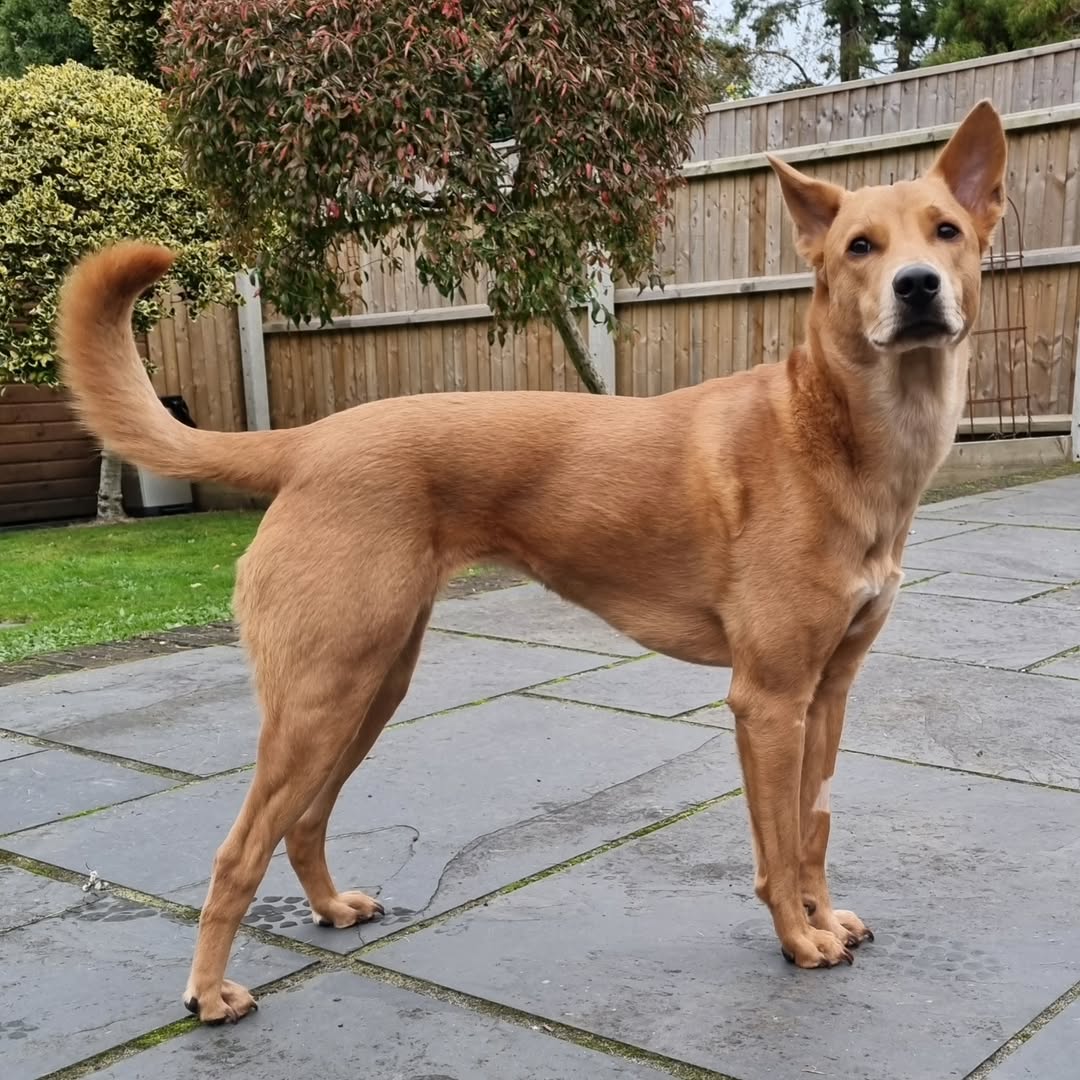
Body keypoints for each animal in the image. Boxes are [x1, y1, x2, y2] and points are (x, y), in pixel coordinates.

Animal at [56, 101, 1002, 1019]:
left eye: (946, 231)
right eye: (859, 248)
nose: (917, 286)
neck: (833, 433)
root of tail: (310, 440)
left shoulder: (827, 691)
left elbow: (813, 828)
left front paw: (823, 917)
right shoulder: (767, 700)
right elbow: (775, 842)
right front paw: (799, 941)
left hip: (370, 685)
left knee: (303, 821)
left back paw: (328, 909)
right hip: (322, 694)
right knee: (237, 850)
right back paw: (210, 992)